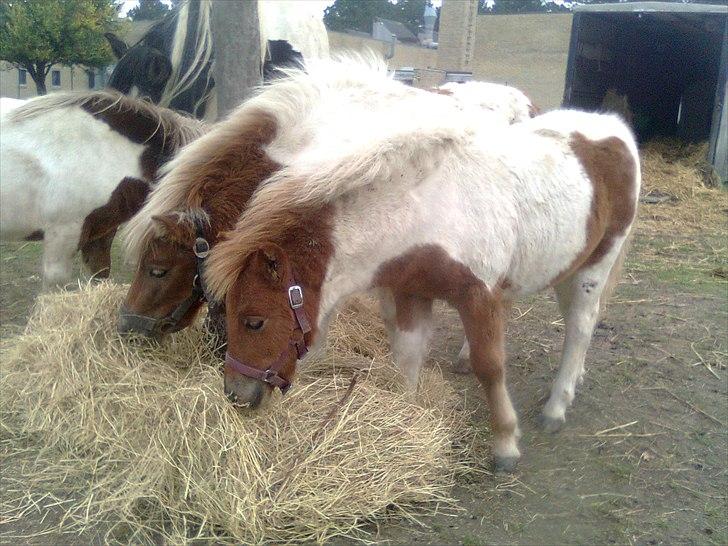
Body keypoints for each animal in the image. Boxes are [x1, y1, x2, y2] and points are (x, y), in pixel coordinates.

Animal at [202, 73, 640, 472]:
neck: (428, 211)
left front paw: (505, 443)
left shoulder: (478, 295)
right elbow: (407, 357)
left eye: (254, 321)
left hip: (593, 268)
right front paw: (408, 417)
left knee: (580, 327)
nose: (236, 394)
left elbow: (490, 366)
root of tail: (614, 130)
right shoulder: (413, 292)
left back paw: (557, 405)